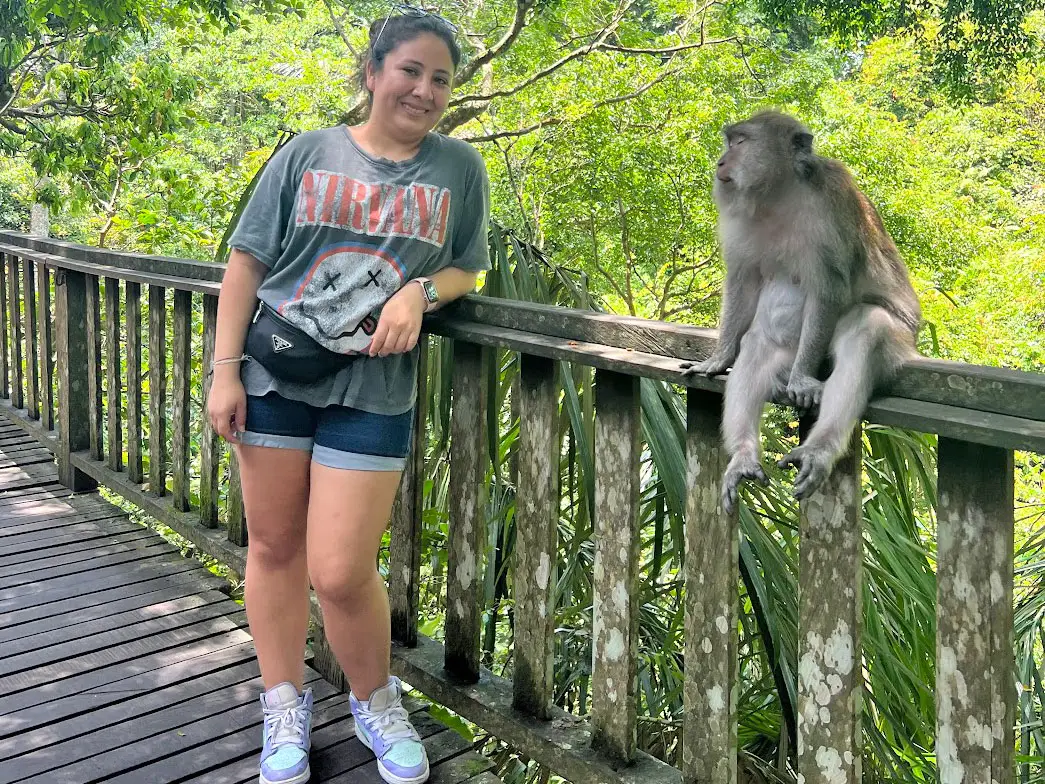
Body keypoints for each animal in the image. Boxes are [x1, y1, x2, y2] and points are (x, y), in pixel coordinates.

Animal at [680, 110, 921, 513]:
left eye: (741, 142)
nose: (721, 162)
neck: (779, 195)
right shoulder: (740, 220)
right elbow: (744, 280)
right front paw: (718, 357)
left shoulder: (830, 205)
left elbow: (829, 289)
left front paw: (804, 380)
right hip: (785, 351)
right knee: (757, 347)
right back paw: (743, 456)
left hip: (890, 343)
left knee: (866, 327)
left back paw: (818, 448)